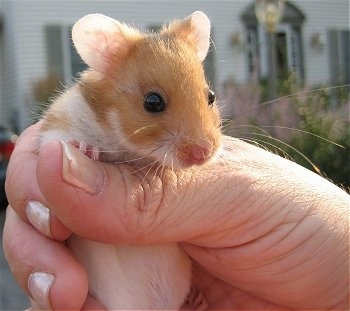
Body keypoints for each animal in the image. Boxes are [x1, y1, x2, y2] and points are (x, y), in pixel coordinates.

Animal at [38, 11, 221, 310]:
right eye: (153, 102)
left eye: (211, 97)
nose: (203, 154)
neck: (123, 146)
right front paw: (85, 150)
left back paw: (198, 302)